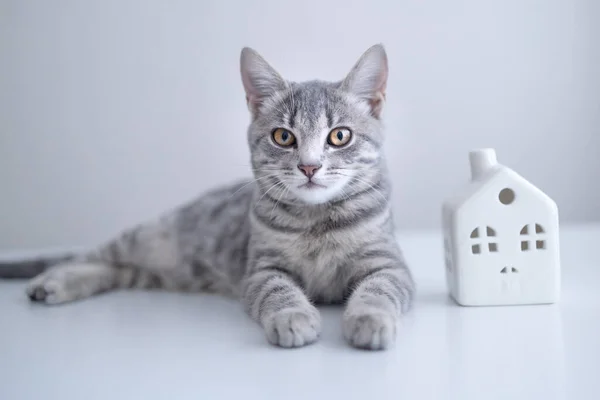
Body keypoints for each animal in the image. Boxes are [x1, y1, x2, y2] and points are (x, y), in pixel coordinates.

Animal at [0, 43, 414, 350]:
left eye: (339, 136)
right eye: (283, 137)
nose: (309, 166)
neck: (316, 223)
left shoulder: (388, 263)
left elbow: (379, 288)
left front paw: (370, 318)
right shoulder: (260, 269)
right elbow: (277, 290)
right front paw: (292, 316)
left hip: (154, 270)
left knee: (116, 269)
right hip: (149, 235)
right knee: (91, 254)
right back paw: (51, 281)